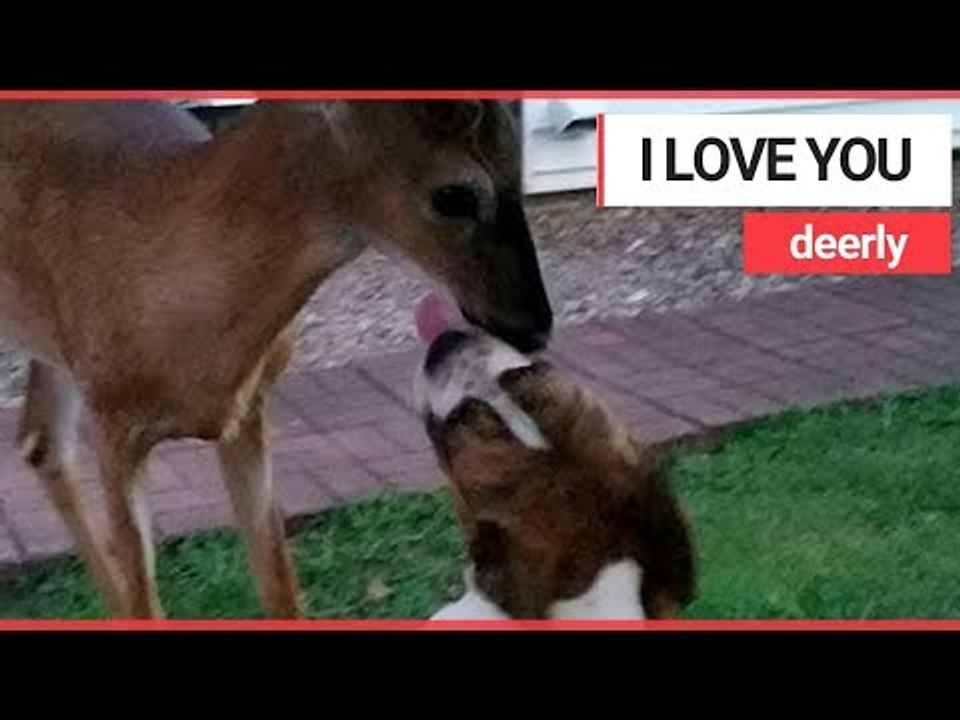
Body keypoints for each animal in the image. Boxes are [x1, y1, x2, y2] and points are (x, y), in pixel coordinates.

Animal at [0, 99, 554, 619]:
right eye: (454, 195)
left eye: (519, 170)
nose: (535, 325)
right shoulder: (114, 425)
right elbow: (147, 604)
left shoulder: (247, 411)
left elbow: (280, 589)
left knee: (41, 441)